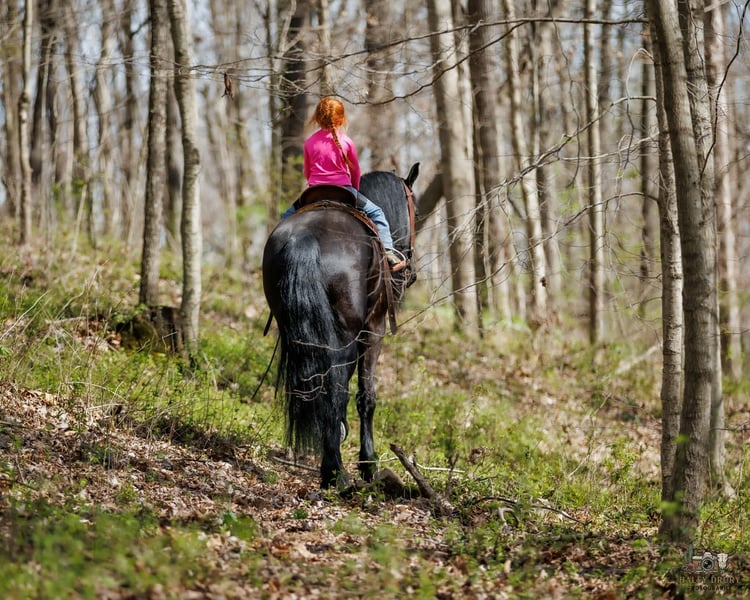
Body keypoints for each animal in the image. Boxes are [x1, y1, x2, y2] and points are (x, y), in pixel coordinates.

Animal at [262, 163, 419, 489]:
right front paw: (368, 463)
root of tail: (304, 238)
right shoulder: (373, 330)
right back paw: (335, 472)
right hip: (347, 333)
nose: (409, 268)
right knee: (335, 390)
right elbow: (365, 395)